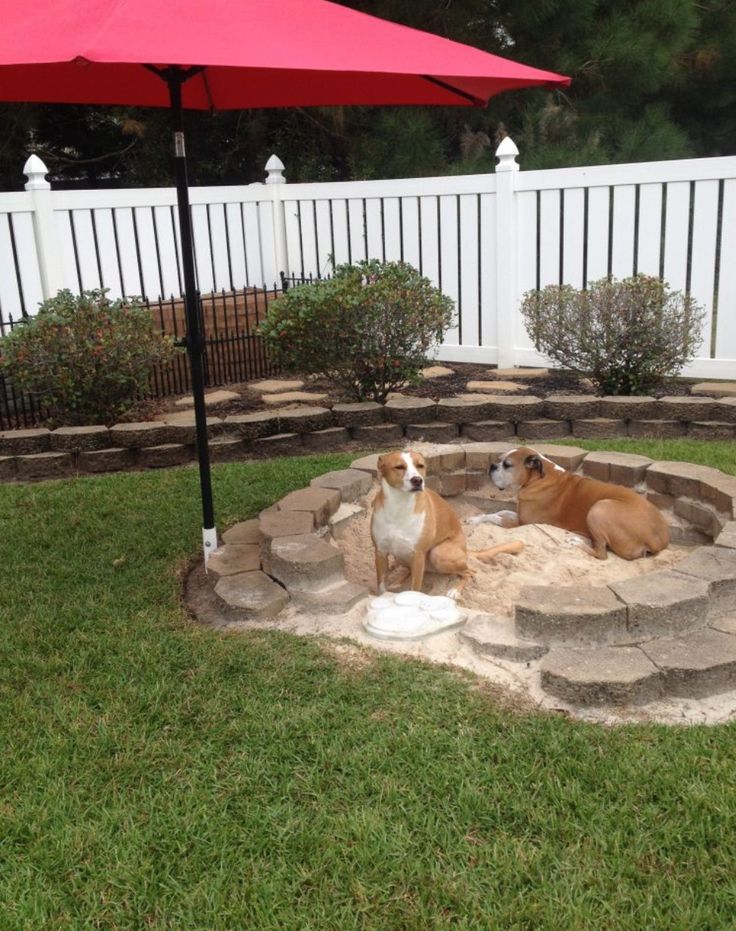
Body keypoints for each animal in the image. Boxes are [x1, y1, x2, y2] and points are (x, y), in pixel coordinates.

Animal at [368, 450, 524, 596]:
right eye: (399, 467)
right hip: (401, 555)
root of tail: (465, 550)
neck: (400, 506)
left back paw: (455, 591)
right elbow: (381, 586)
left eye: (420, 466)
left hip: (438, 553)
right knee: (409, 570)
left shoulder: (418, 555)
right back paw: (397, 582)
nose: (417, 480)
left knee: (470, 571)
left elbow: (415, 589)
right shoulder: (380, 552)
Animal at [468, 446, 668, 560]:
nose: (492, 466)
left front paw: (477, 520)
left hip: (599, 508)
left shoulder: (522, 523)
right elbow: (497, 512)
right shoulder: (519, 515)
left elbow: (495, 518)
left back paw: (576, 542)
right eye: (500, 460)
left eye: (507, 465)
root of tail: (658, 540)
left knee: (601, 554)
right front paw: (474, 519)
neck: (538, 478)